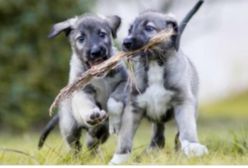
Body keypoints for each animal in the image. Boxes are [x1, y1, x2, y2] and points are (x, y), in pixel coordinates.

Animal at [39, 14, 129, 151]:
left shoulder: (124, 81)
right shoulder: (82, 91)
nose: (96, 51)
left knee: (93, 142)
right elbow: (85, 104)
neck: (101, 77)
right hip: (69, 126)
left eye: (102, 34)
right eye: (81, 38)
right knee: (75, 145)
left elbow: (116, 96)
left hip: (104, 132)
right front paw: (91, 114)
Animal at [110, 0, 207, 164]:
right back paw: (150, 153)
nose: (126, 42)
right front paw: (118, 159)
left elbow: (187, 129)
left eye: (149, 28)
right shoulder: (133, 107)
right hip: (157, 119)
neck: (154, 62)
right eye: (130, 29)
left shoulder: (183, 102)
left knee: (176, 136)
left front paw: (192, 146)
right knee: (159, 137)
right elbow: (125, 136)